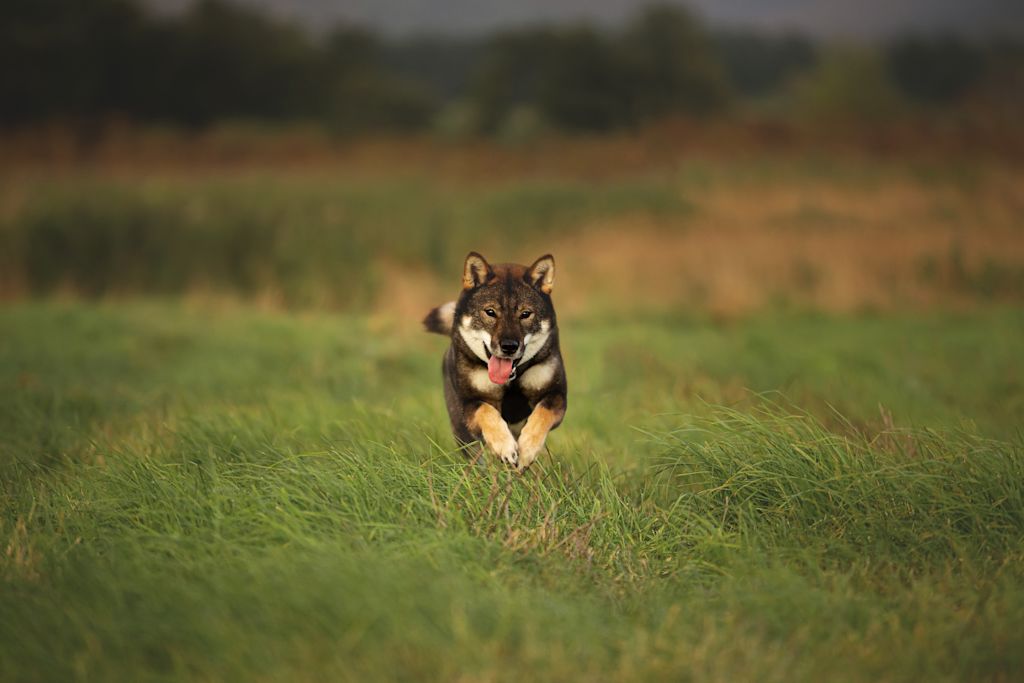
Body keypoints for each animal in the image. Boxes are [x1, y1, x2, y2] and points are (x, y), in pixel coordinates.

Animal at [421, 253, 569, 473]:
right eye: (490, 312)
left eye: (525, 314)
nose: (509, 346)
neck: (511, 380)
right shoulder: (470, 404)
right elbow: (487, 413)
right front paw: (505, 447)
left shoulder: (556, 395)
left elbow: (542, 416)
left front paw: (527, 450)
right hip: (461, 430)